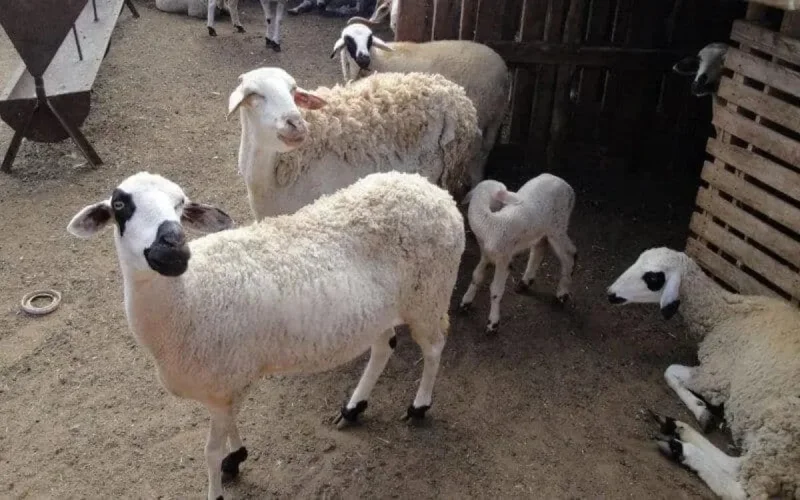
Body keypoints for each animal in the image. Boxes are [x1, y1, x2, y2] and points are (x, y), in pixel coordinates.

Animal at [66, 170, 465, 500]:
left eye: (180, 204)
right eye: (121, 205)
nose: (174, 250)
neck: (189, 297)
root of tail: (430, 190)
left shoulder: (222, 382)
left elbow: (210, 451)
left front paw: (219, 482)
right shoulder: (226, 384)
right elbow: (229, 428)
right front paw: (237, 457)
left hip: (429, 293)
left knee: (433, 347)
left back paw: (419, 406)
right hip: (379, 310)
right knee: (384, 347)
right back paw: (353, 408)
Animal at [330, 23, 510, 187]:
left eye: (370, 39)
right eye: (348, 40)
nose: (363, 59)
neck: (378, 58)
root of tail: (503, 68)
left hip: (483, 111)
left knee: (478, 153)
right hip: (494, 117)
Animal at [458, 175, 577, 334]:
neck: (491, 223)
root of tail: (565, 184)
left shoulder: (504, 259)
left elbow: (495, 291)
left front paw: (493, 323)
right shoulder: (486, 254)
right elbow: (476, 276)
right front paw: (466, 302)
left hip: (558, 225)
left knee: (569, 254)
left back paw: (562, 294)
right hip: (541, 229)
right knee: (540, 247)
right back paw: (525, 282)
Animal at [607, 247, 800, 500]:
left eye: (653, 277)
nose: (610, 294)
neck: (727, 314)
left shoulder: (716, 376)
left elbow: (670, 372)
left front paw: (701, 410)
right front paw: (701, 414)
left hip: (782, 433)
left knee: (744, 489)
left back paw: (682, 449)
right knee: (736, 464)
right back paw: (678, 428)